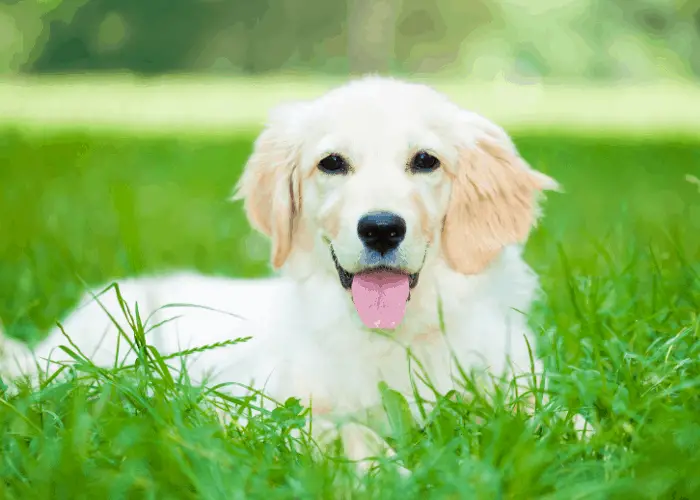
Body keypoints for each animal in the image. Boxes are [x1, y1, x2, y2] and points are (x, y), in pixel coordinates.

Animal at [1, 76, 564, 474]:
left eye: (426, 160)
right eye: (331, 163)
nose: (381, 229)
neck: (393, 335)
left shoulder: (513, 383)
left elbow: (559, 418)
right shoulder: (251, 404)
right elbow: (341, 431)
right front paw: (388, 471)